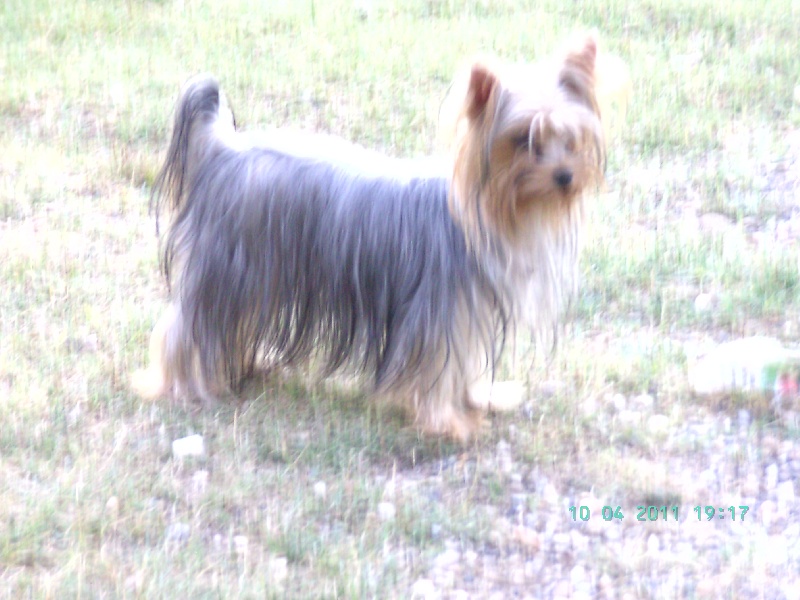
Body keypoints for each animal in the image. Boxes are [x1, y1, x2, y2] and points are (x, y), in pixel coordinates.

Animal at [133, 35, 606, 441]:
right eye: (524, 139)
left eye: (571, 137)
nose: (566, 176)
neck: (491, 213)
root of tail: (222, 150)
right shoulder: (439, 315)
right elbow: (439, 370)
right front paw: (448, 422)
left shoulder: (467, 314)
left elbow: (465, 366)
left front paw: (480, 398)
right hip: (228, 270)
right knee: (188, 327)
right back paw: (182, 385)